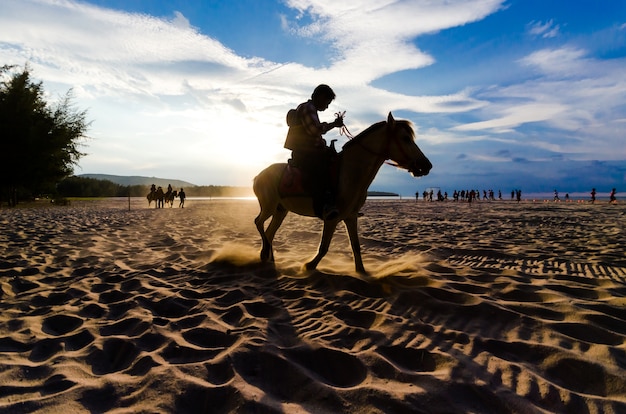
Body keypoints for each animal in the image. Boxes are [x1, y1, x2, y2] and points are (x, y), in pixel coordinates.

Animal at [252, 111, 428, 274]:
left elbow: (356, 246)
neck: (349, 172)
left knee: (269, 232)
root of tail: (259, 176)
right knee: (258, 222)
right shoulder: (332, 218)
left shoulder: (350, 217)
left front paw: (362, 272)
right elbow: (324, 247)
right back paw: (264, 254)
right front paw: (308, 265)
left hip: (281, 210)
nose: (427, 165)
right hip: (269, 206)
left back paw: (269, 257)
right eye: (406, 138)